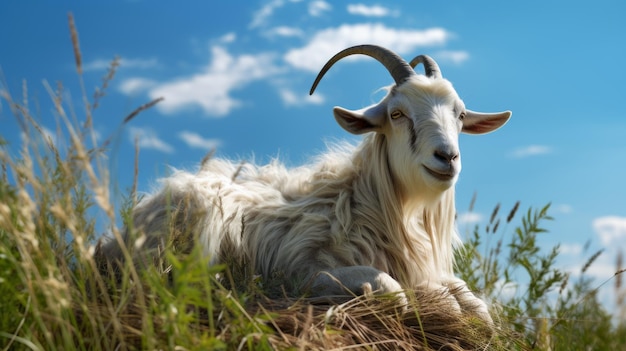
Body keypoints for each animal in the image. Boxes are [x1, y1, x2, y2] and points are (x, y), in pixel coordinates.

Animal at [100, 44, 510, 324]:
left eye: (460, 115)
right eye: (397, 114)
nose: (447, 157)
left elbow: (480, 311)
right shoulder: (303, 270)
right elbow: (394, 289)